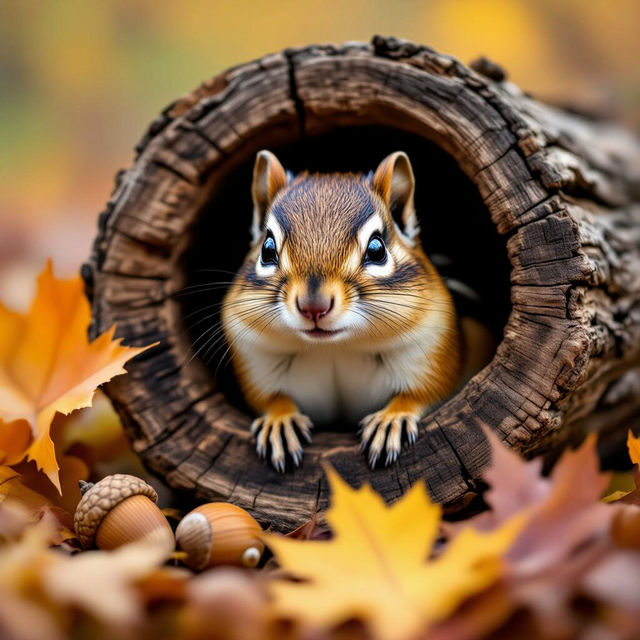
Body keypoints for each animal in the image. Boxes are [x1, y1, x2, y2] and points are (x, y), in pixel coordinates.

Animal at [222, 150, 466, 472]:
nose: (313, 306)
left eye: (377, 249)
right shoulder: (256, 359)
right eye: (267, 249)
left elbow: (423, 392)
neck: (334, 347)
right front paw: (280, 422)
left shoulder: (431, 350)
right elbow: (269, 399)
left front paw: (392, 419)